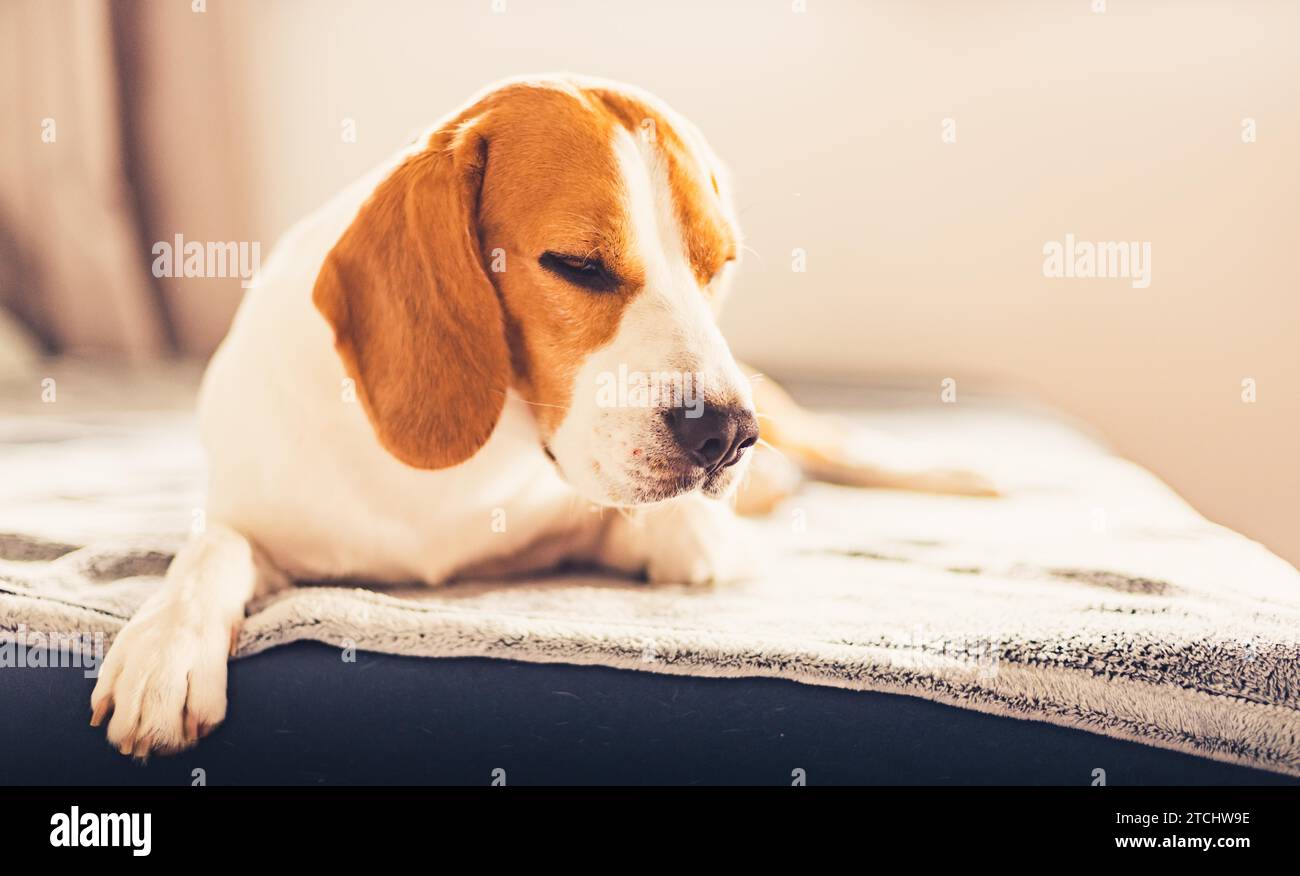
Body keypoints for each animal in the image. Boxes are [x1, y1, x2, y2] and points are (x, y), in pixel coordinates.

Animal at [86, 76, 987, 759]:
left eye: (717, 266)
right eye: (577, 265)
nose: (729, 434)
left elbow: (672, 534)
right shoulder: (250, 520)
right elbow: (211, 553)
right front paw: (166, 644)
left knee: (843, 444)